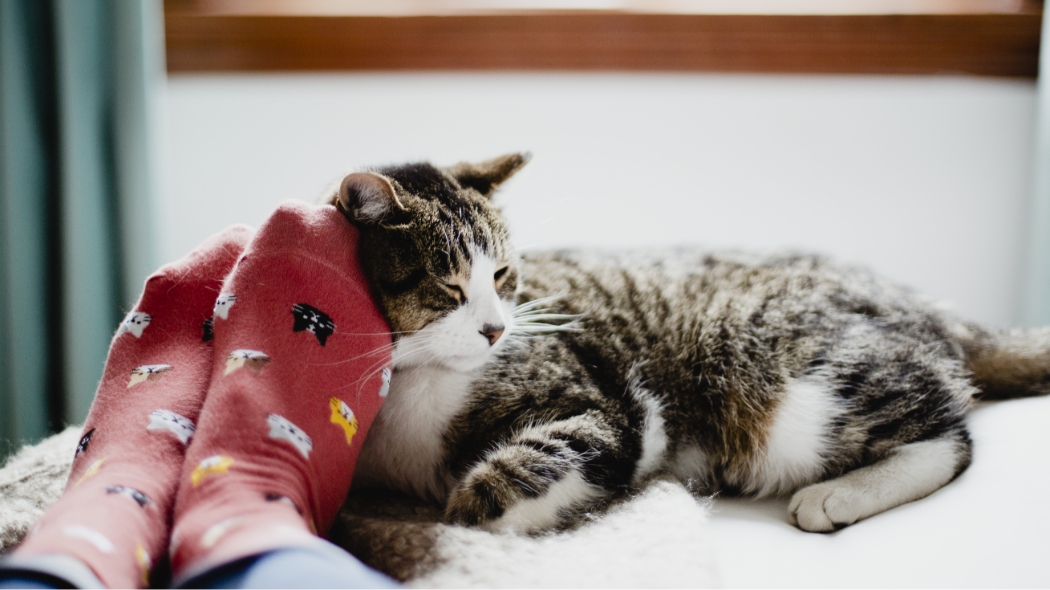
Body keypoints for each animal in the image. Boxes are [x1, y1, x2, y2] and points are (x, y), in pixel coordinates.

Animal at [327, 152, 1050, 533]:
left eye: (503, 276)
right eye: (449, 285)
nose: (497, 328)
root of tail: (935, 307)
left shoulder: (613, 410)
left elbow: (527, 473)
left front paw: (465, 514)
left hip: (781, 375)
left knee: (949, 435)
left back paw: (837, 497)